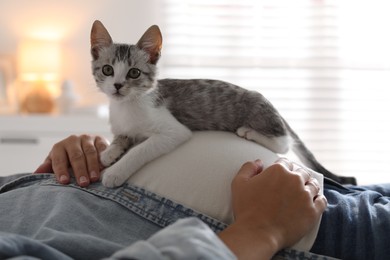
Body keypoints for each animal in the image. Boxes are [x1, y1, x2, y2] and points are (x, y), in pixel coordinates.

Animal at [90, 20, 354, 187]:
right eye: (107, 69)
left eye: (134, 73)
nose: (117, 86)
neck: (128, 105)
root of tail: (268, 103)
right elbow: (122, 136)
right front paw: (109, 152)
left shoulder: (173, 130)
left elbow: (142, 149)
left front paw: (115, 171)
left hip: (258, 112)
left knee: (284, 142)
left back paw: (249, 132)